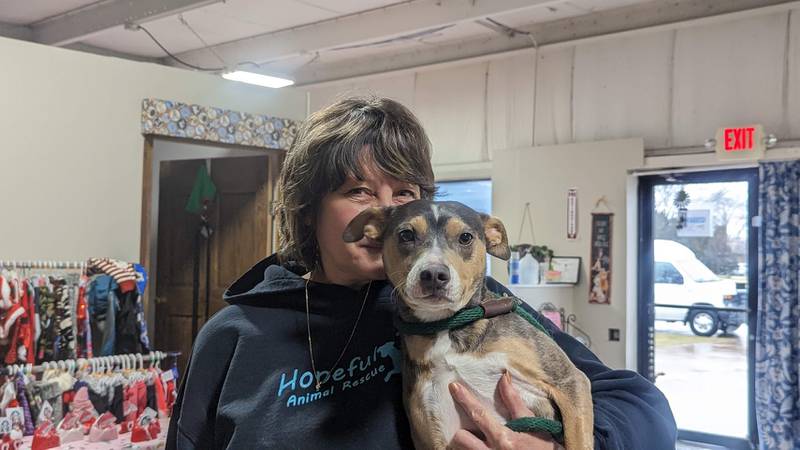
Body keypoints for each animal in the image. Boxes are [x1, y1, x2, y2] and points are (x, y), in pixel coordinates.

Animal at [344, 200, 592, 450]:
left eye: (465, 237)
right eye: (406, 235)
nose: (433, 274)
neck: (446, 325)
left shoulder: (570, 381)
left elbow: (578, 441)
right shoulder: (433, 432)